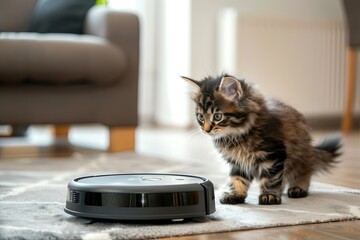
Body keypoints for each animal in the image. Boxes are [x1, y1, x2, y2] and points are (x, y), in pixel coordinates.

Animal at [183, 74, 340, 204]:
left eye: (217, 116)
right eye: (200, 117)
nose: (206, 129)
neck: (237, 135)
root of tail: (311, 149)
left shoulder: (273, 155)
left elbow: (271, 178)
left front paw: (269, 195)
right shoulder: (238, 162)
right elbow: (237, 178)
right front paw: (235, 194)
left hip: (299, 157)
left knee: (304, 172)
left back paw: (297, 188)